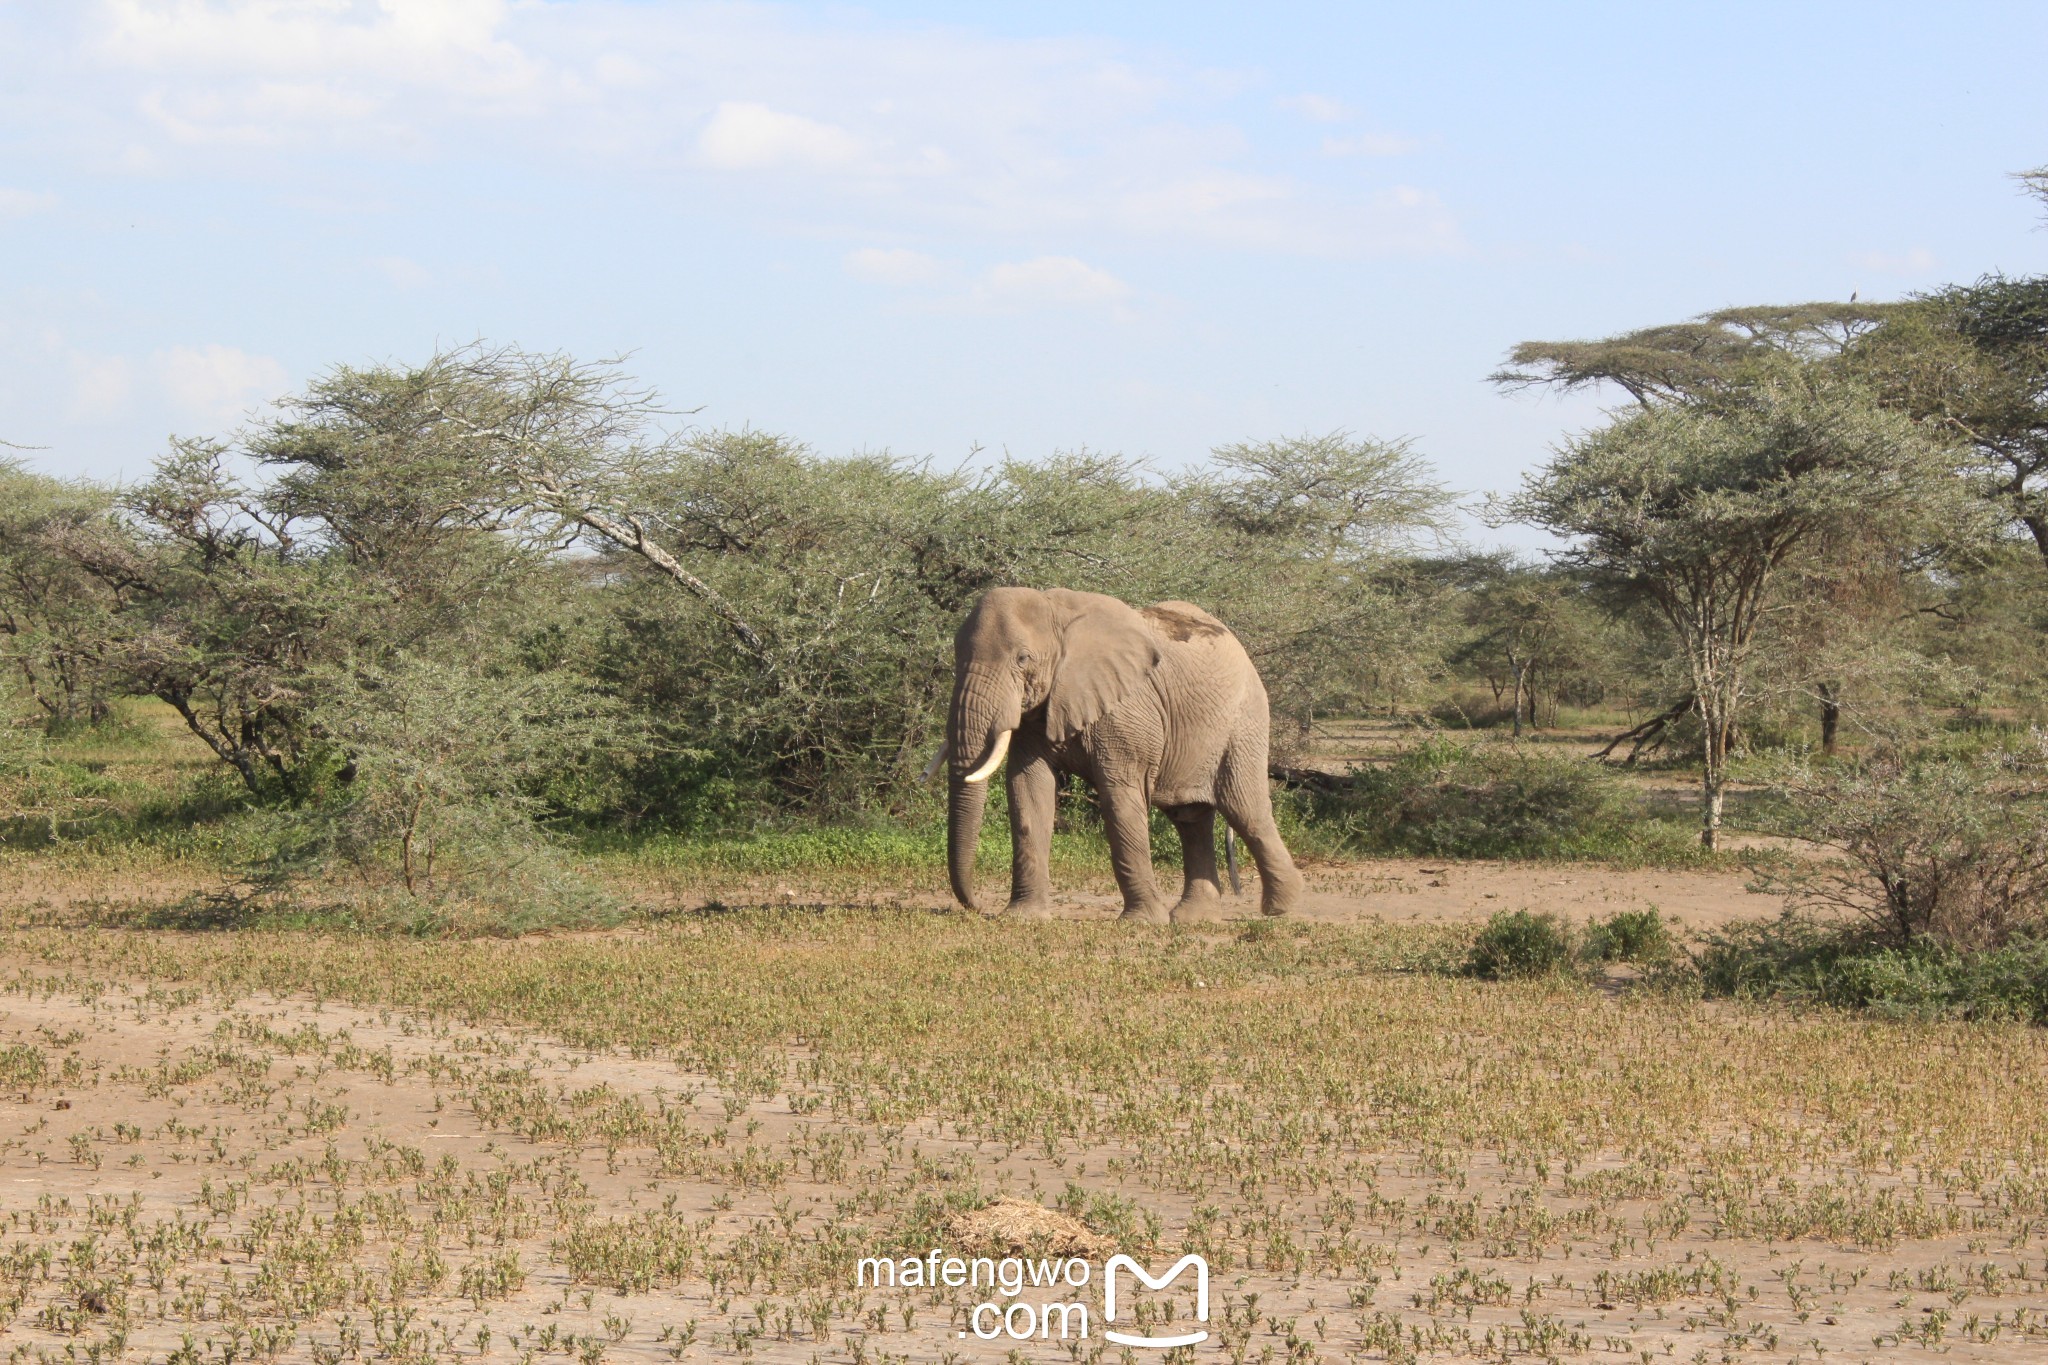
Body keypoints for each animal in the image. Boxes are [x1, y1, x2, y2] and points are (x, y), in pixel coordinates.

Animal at [937, 589, 1302, 929]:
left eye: (1023, 658)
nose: (977, 907)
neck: (1058, 612)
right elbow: (1029, 789)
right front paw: (1023, 917)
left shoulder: (1126, 711)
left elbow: (1119, 796)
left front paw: (1141, 922)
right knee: (1191, 818)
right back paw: (1193, 918)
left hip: (1244, 721)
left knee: (1245, 809)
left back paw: (1283, 910)